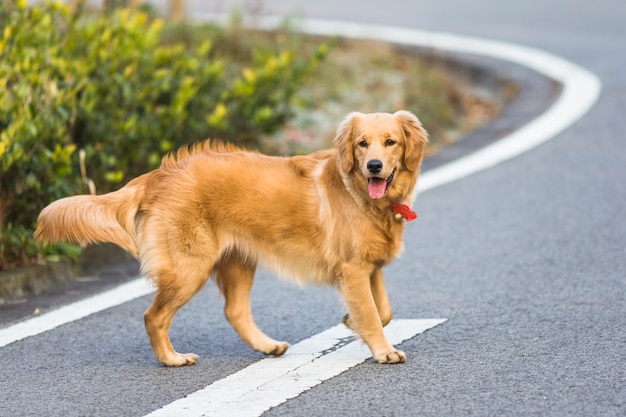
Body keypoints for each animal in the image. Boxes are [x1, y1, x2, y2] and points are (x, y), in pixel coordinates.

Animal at [33, 109, 424, 364]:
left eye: (390, 142)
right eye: (362, 144)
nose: (374, 166)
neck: (363, 195)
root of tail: (157, 175)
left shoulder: (369, 268)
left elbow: (383, 310)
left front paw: (350, 322)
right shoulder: (353, 269)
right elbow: (372, 314)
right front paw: (384, 350)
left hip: (237, 262)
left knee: (234, 311)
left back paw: (267, 346)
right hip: (190, 267)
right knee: (153, 316)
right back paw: (171, 359)